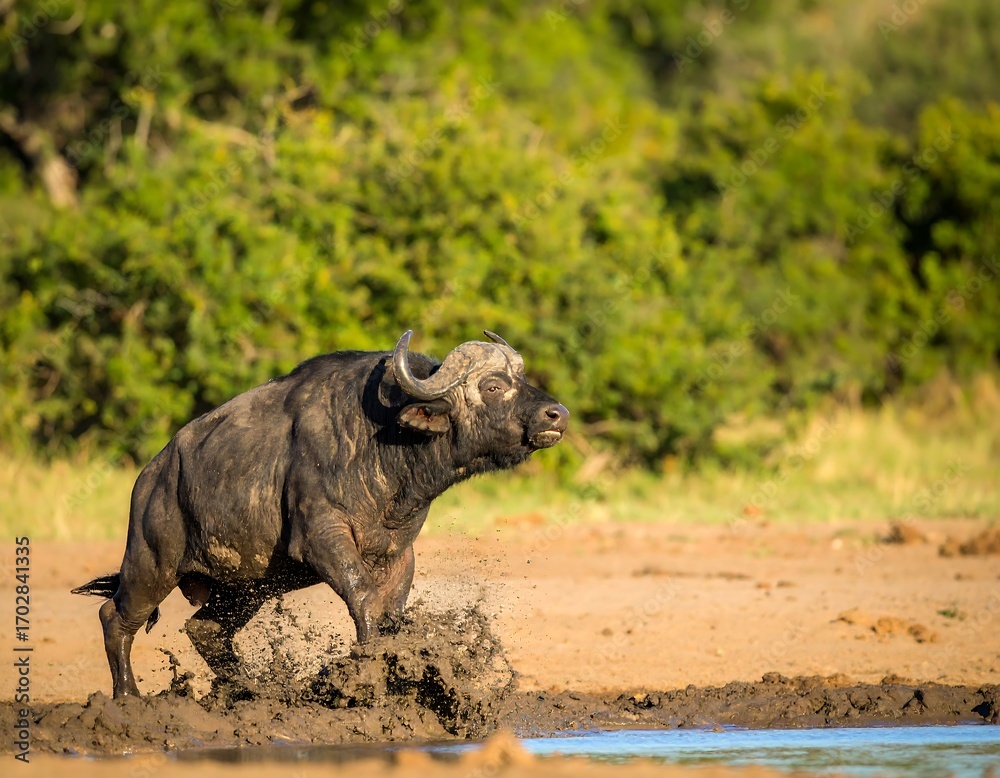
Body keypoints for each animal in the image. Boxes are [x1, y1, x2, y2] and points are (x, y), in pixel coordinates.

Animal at [73, 330, 568, 698]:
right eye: (493, 386)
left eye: (520, 378)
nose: (557, 414)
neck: (382, 447)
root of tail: (151, 477)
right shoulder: (322, 537)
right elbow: (365, 598)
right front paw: (372, 671)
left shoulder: (397, 553)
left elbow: (391, 611)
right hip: (151, 566)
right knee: (116, 618)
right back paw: (128, 696)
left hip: (248, 586)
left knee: (206, 631)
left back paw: (249, 690)